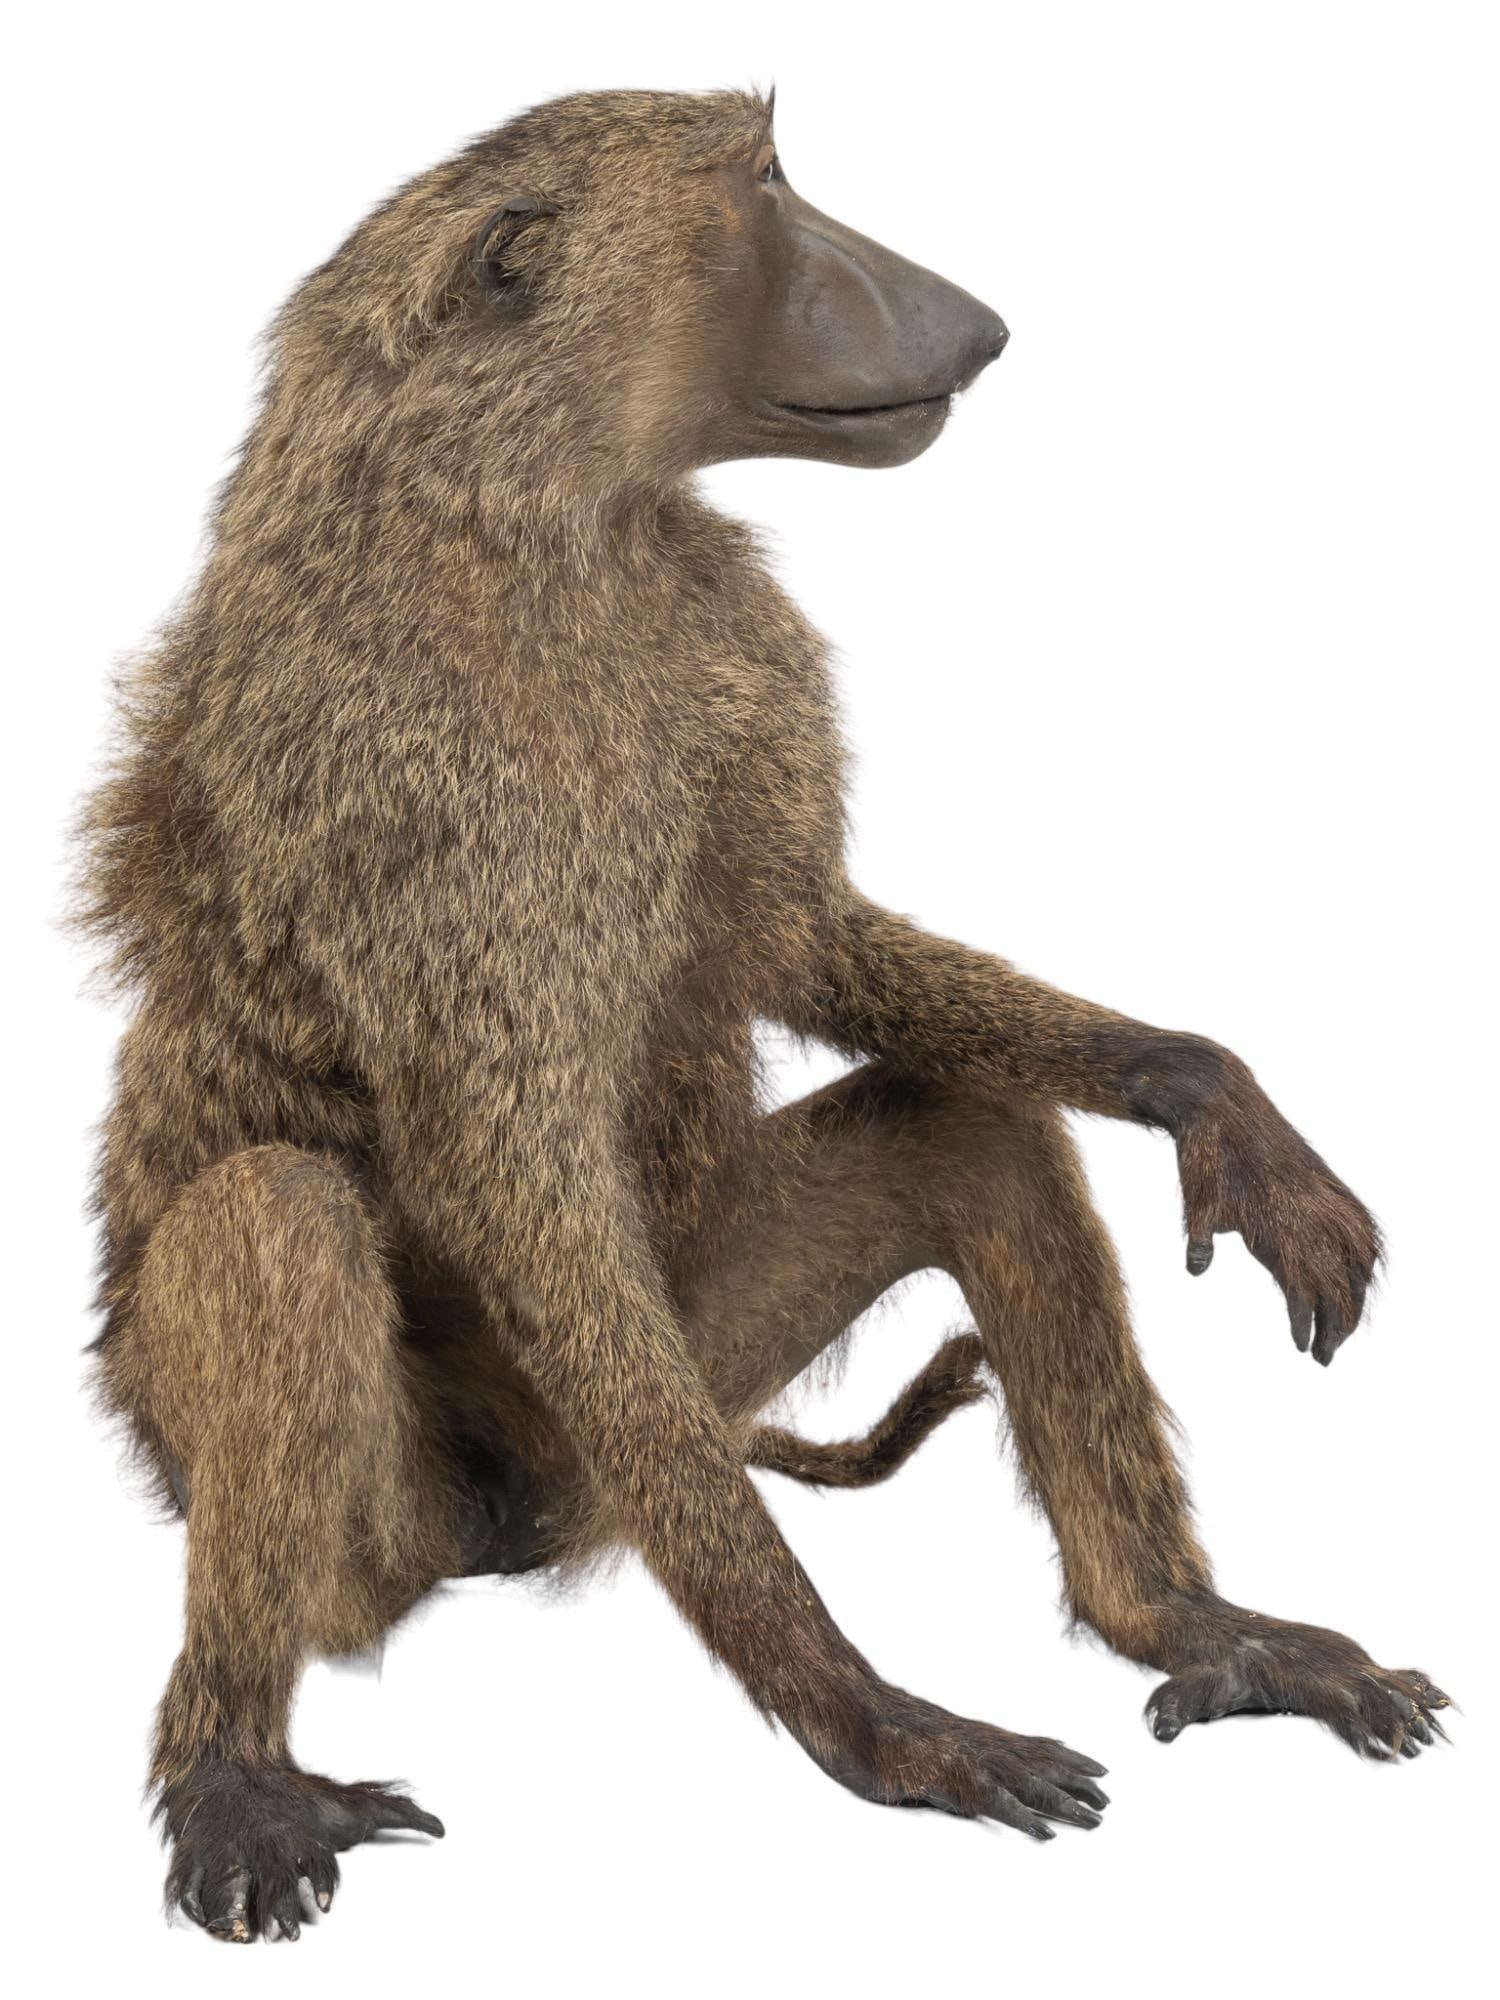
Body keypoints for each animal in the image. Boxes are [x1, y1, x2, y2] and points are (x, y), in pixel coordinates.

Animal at [75, 87, 1449, 1945]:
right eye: (765, 194)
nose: (974, 327)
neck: (528, 517)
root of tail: (495, 1536)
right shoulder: (405, 771)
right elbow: (519, 1177)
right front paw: (865, 1719)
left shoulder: (724, 636)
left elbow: (803, 945)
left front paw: (1207, 1092)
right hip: (422, 1508)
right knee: (273, 1222)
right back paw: (231, 1763)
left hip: (623, 1423)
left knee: (972, 1129)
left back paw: (1192, 1631)